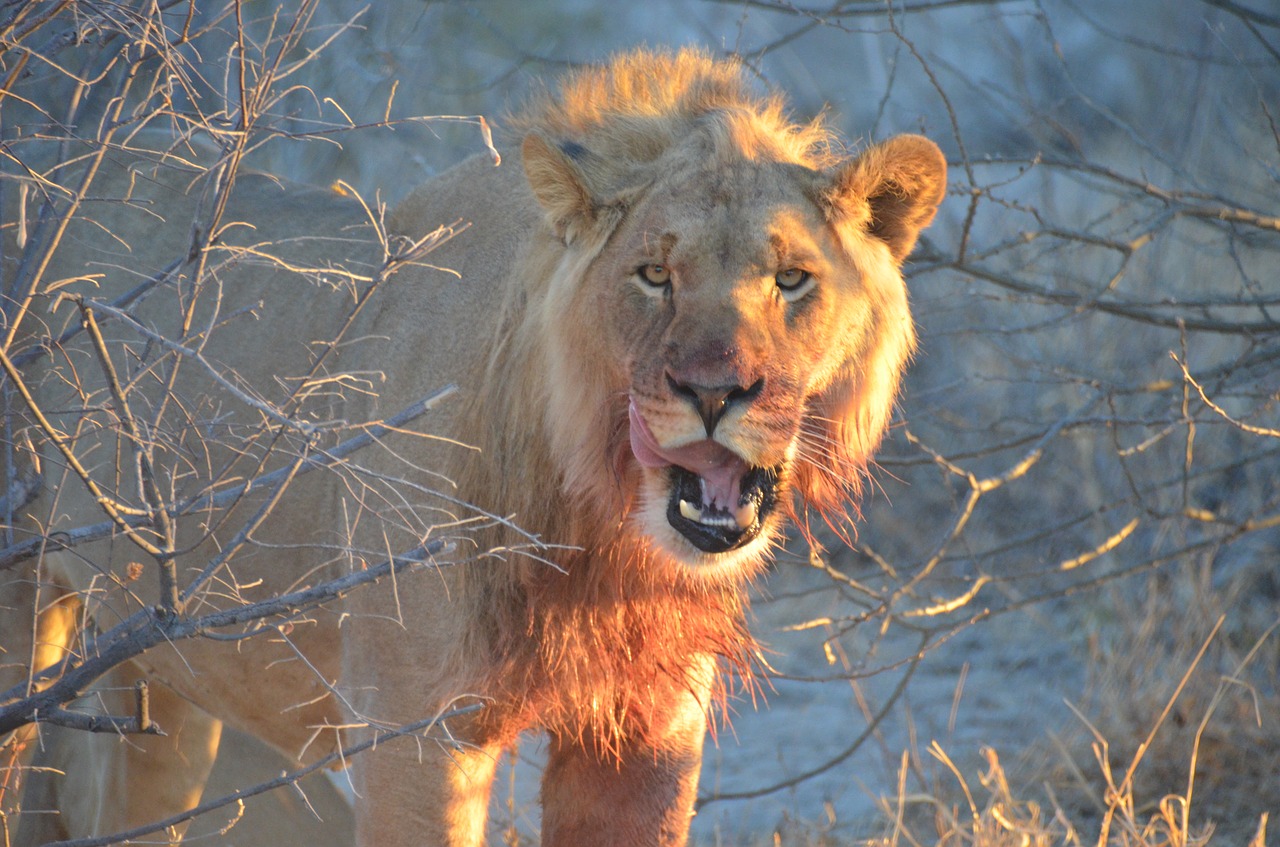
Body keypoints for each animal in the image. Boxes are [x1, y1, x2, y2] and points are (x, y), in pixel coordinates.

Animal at [0, 49, 942, 844]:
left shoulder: (650, 729)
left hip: (160, 673)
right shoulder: (415, 735)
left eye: (792, 279)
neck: (596, 526)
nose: (714, 393)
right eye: (654, 274)